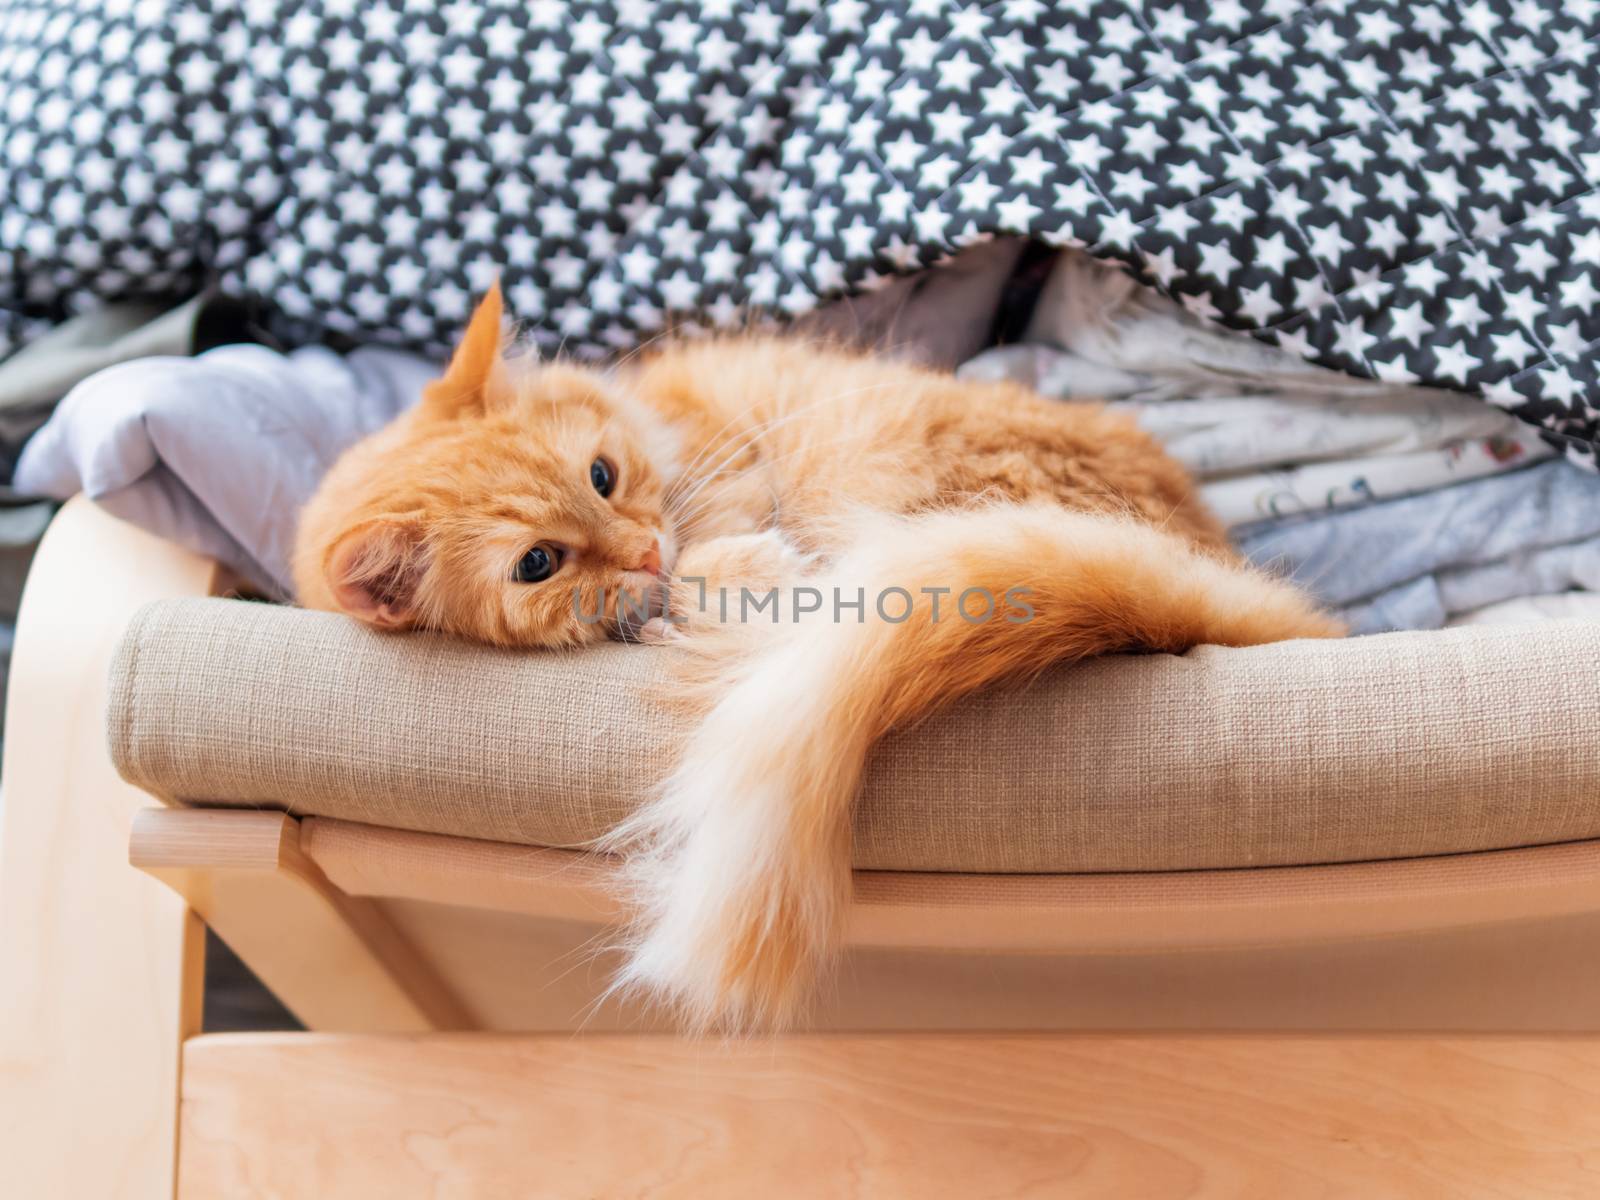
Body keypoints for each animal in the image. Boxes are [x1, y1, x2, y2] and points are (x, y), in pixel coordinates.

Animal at [294, 289, 1344, 1036]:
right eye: (538, 564)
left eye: (601, 474)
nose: (642, 552)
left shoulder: (727, 475)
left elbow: (720, 553)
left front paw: (720, 578)